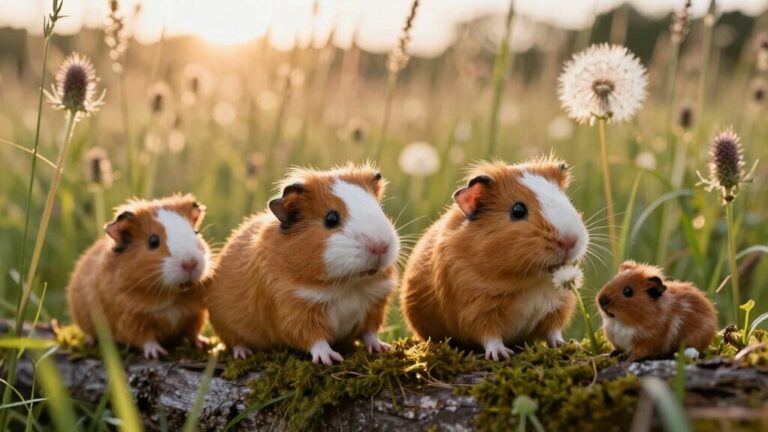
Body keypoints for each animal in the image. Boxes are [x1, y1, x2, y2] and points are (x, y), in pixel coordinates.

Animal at [66, 194, 212, 359]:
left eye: (196, 232)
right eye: (153, 241)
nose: (191, 263)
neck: (172, 296)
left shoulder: (196, 313)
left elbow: (194, 332)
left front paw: (204, 344)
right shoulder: (131, 318)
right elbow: (145, 338)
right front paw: (157, 354)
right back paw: (90, 342)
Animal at [206, 164, 399, 364]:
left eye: (380, 209)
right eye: (331, 219)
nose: (381, 247)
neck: (348, 285)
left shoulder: (376, 303)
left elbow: (370, 333)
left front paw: (382, 348)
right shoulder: (293, 307)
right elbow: (312, 338)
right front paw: (330, 359)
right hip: (226, 326)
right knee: (235, 342)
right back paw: (244, 354)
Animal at [400, 157, 589, 360]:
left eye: (568, 201)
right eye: (518, 210)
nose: (570, 241)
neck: (531, 282)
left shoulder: (559, 304)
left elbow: (553, 332)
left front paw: (567, 345)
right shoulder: (475, 307)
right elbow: (490, 335)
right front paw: (501, 355)